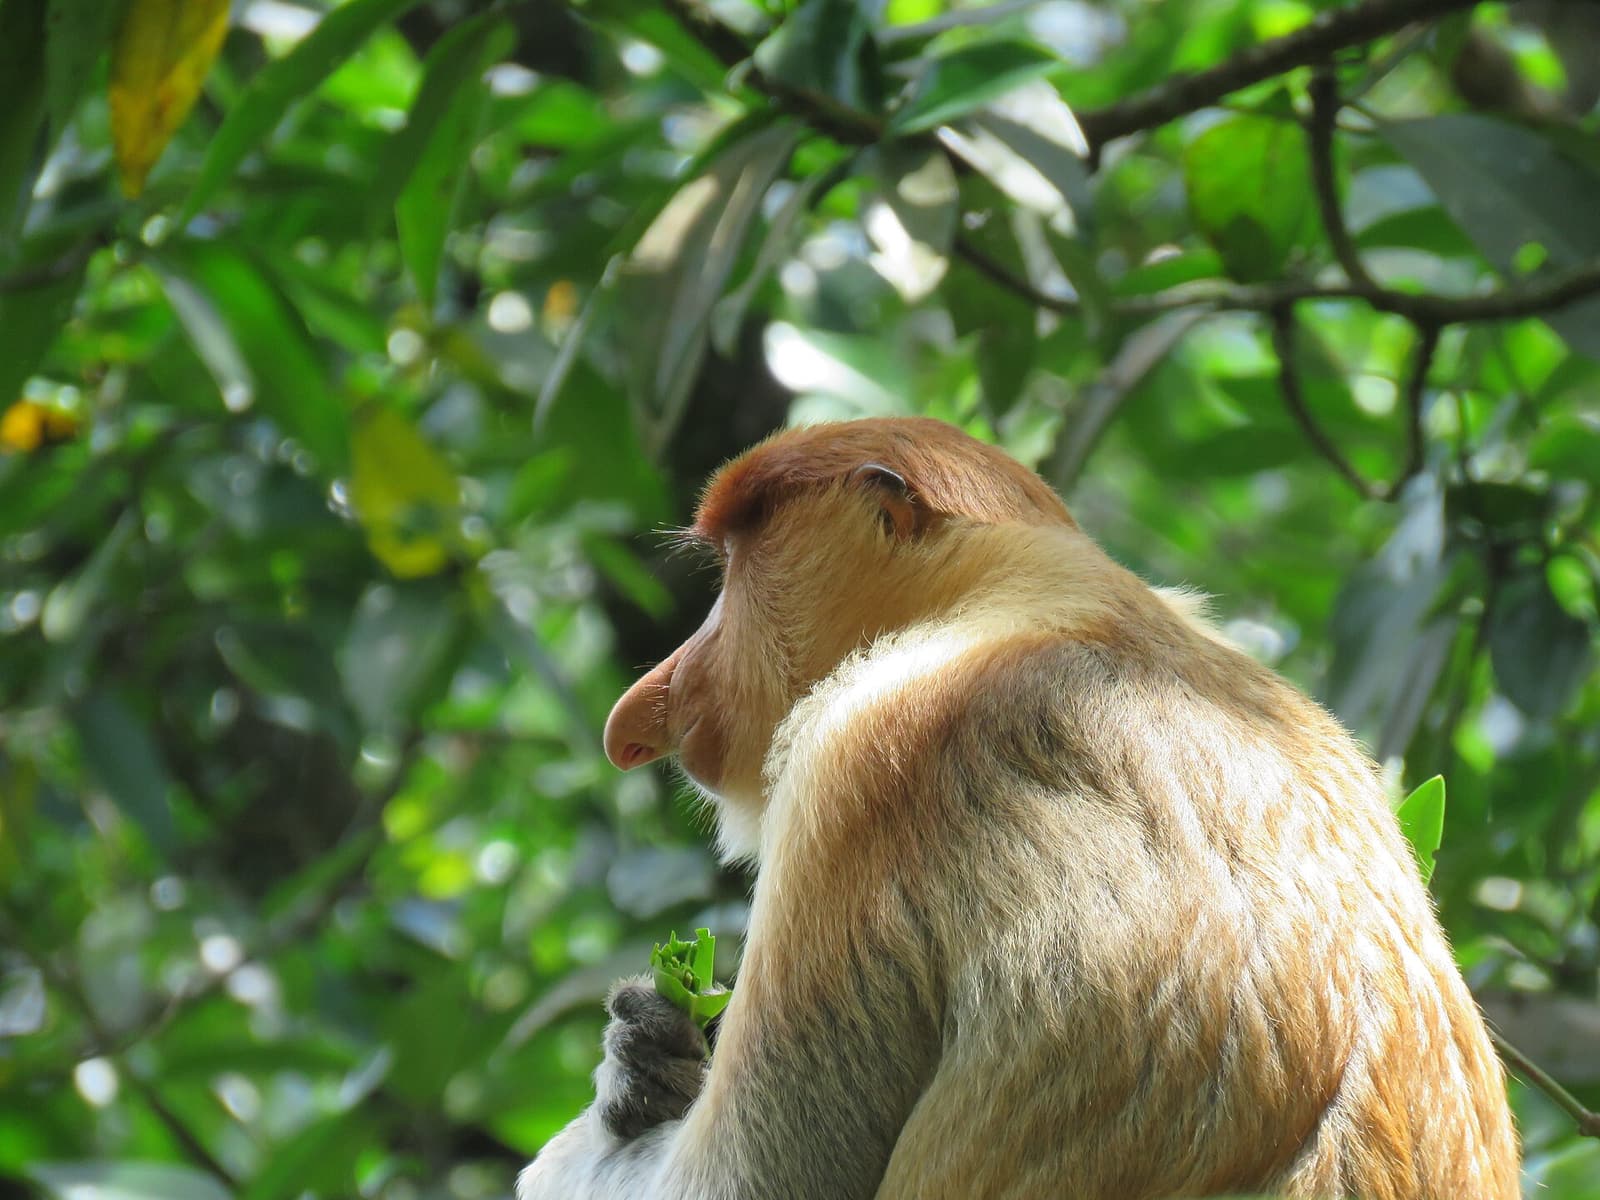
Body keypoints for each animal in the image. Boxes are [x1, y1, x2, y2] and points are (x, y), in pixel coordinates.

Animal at [518, 416, 1520, 1200]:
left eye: (732, 568)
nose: (644, 711)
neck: (1018, 595)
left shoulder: (859, 762)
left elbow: (745, 1184)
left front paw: (622, 1089)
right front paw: (647, 1052)